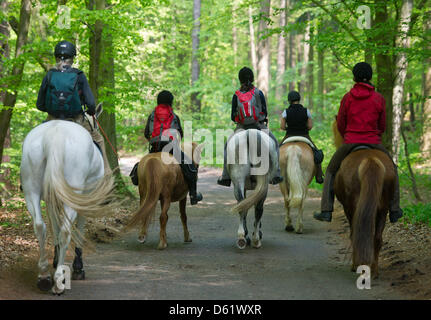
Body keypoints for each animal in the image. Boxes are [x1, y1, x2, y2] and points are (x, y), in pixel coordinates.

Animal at [20, 116, 115, 294]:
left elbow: (54, 226)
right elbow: (78, 230)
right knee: (65, 231)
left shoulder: (51, 199)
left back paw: (44, 276)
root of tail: (54, 134)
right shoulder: (84, 200)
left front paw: (56, 258)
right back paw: (59, 280)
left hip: (31, 190)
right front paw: (78, 267)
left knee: (40, 226)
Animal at [332, 120, 396, 278]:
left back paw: (358, 266)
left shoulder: (348, 209)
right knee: (377, 238)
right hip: (383, 209)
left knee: (357, 234)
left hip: (353, 207)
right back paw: (374, 271)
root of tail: (370, 159)